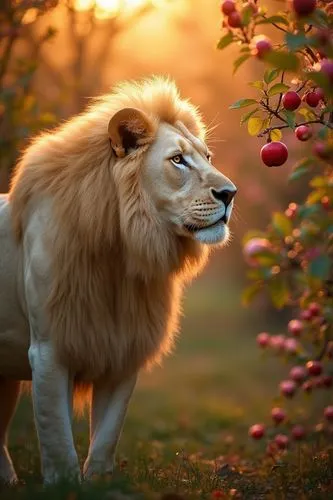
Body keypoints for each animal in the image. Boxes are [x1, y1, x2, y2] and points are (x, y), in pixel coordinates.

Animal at [0, 78, 236, 484]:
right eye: (178, 160)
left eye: (208, 157)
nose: (230, 194)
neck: (121, 255)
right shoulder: (50, 349)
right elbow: (56, 433)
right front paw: (65, 483)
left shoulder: (123, 347)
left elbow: (108, 433)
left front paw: (99, 482)